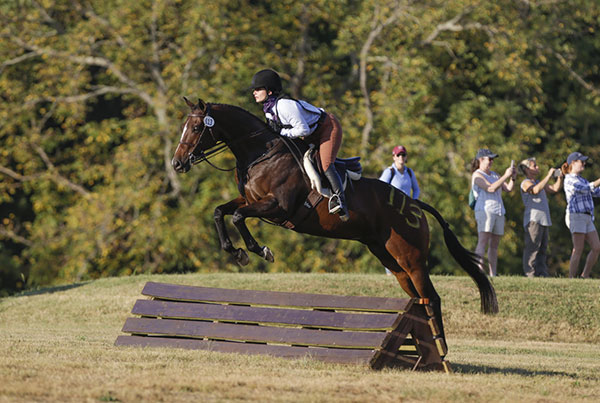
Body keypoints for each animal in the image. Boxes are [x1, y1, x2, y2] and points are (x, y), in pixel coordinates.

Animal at [172, 98, 496, 340]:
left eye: (198, 127)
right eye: (184, 125)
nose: (177, 163)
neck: (261, 155)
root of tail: (413, 203)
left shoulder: (277, 207)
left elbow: (238, 217)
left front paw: (258, 251)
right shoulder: (252, 201)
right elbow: (220, 212)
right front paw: (235, 252)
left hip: (412, 258)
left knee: (432, 297)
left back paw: (441, 347)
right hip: (390, 257)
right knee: (418, 297)